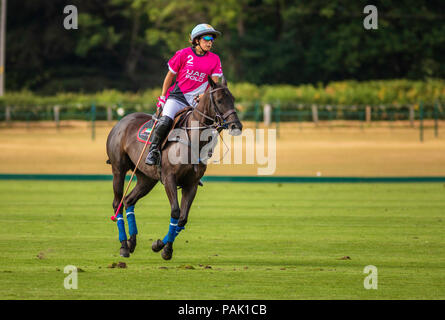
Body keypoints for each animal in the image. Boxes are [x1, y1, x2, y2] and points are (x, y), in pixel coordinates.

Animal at [105, 77, 243, 260]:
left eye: (233, 99)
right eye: (220, 100)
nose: (236, 126)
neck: (193, 138)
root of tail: (121, 121)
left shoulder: (191, 184)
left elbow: (182, 218)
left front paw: (161, 247)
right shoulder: (169, 178)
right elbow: (176, 212)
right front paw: (164, 248)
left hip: (146, 178)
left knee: (128, 200)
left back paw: (131, 242)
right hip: (118, 169)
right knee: (117, 203)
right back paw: (123, 247)